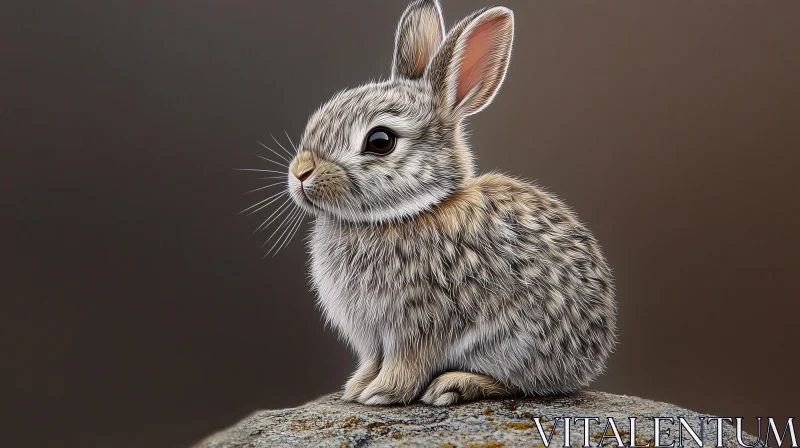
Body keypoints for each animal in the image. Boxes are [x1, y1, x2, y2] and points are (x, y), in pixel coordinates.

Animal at [284, 0, 616, 406]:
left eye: (380, 141)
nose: (301, 172)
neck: (409, 212)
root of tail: (592, 359)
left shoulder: (419, 323)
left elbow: (406, 363)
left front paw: (381, 393)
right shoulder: (373, 338)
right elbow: (372, 360)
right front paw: (356, 388)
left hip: (516, 345)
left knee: (525, 386)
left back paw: (454, 384)